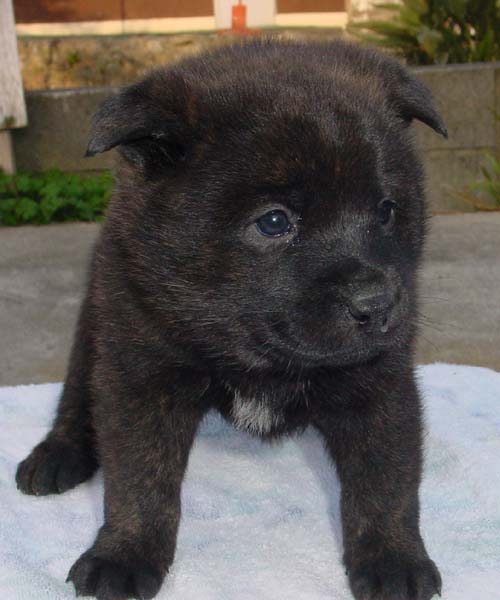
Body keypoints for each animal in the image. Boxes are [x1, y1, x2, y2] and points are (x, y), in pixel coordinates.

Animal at [16, 39, 446, 600]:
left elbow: (385, 482)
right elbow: (139, 480)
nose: (378, 304)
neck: (256, 358)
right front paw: (124, 553)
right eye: (274, 221)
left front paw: (395, 559)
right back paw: (56, 455)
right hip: (95, 321)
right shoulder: (141, 372)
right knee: (75, 393)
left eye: (387, 210)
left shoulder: (378, 383)